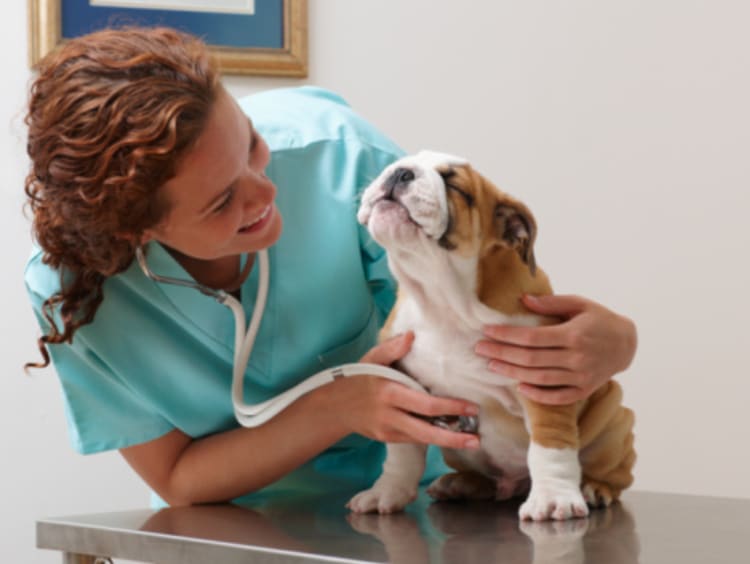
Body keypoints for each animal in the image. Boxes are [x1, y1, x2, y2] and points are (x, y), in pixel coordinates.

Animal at [352, 150, 636, 520]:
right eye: (399, 163)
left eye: (455, 185)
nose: (401, 172)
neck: (444, 301)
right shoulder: (403, 384)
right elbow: (402, 450)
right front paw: (387, 491)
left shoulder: (544, 382)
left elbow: (550, 446)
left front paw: (553, 498)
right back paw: (460, 484)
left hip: (614, 419)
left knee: (613, 473)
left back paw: (594, 488)